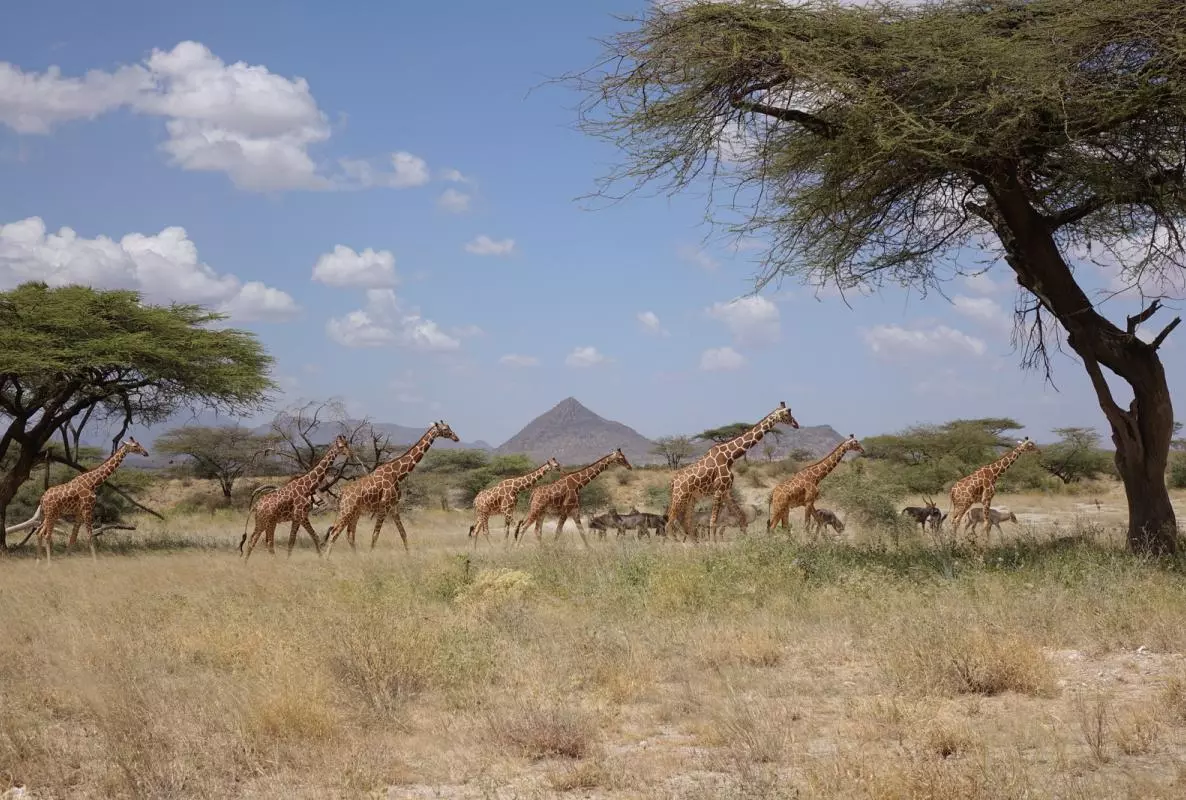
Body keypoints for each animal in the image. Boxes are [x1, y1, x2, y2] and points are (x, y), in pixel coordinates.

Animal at [323, 421, 460, 555]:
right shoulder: (384, 507)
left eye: (449, 427)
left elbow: (403, 533)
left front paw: (409, 556)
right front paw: (371, 556)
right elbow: (375, 535)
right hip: (347, 511)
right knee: (335, 532)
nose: (456, 438)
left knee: (349, 534)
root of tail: (342, 493)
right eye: (445, 429)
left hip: (354, 512)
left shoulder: (394, 507)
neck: (398, 474)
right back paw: (327, 558)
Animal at [665, 401, 799, 543]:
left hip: (691, 499)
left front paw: (746, 539)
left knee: (686, 522)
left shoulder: (726, 490)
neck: (730, 456)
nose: (796, 424)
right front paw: (713, 543)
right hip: (679, 496)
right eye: (787, 413)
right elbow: (713, 520)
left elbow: (740, 516)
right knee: (670, 520)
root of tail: (673, 481)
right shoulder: (719, 489)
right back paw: (674, 542)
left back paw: (693, 543)